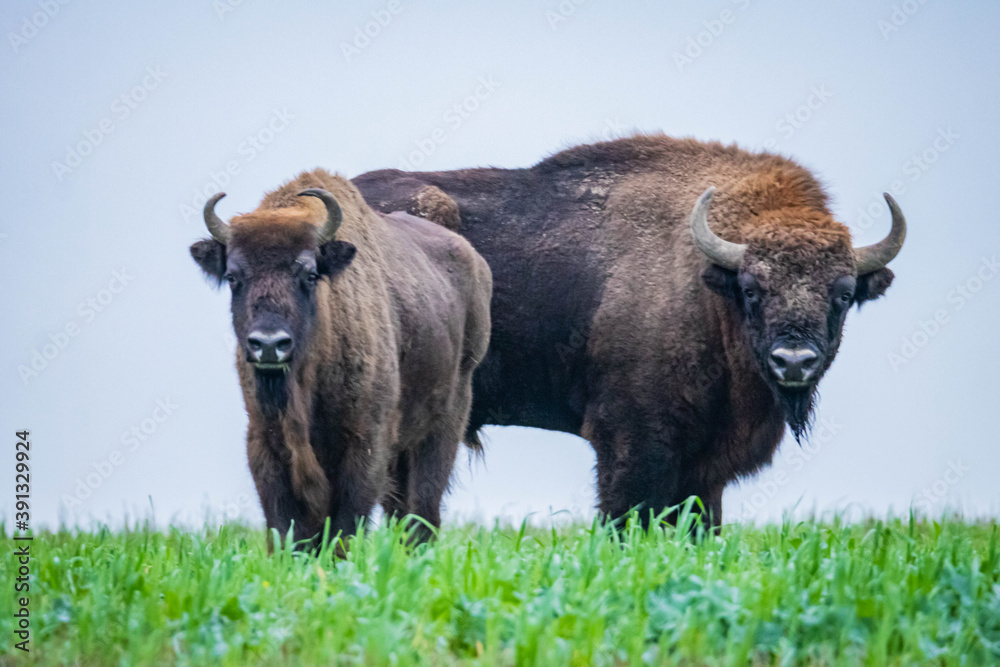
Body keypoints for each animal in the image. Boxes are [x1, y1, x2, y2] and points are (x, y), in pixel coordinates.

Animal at [188, 168, 492, 548]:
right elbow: (285, 527)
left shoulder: (365, 443)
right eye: (232, 277)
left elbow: (344, 526)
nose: (269, 345)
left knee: (423, 509)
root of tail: (476, 263)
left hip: (445, 423)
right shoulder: (264, 442)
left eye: (309, 274)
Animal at [358, 136, 908, 528]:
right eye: (752, 288)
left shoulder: (705, 470)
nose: (793, 361)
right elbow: (624, 517)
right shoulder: (631, 442)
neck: (706, 285)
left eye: (842, 293)